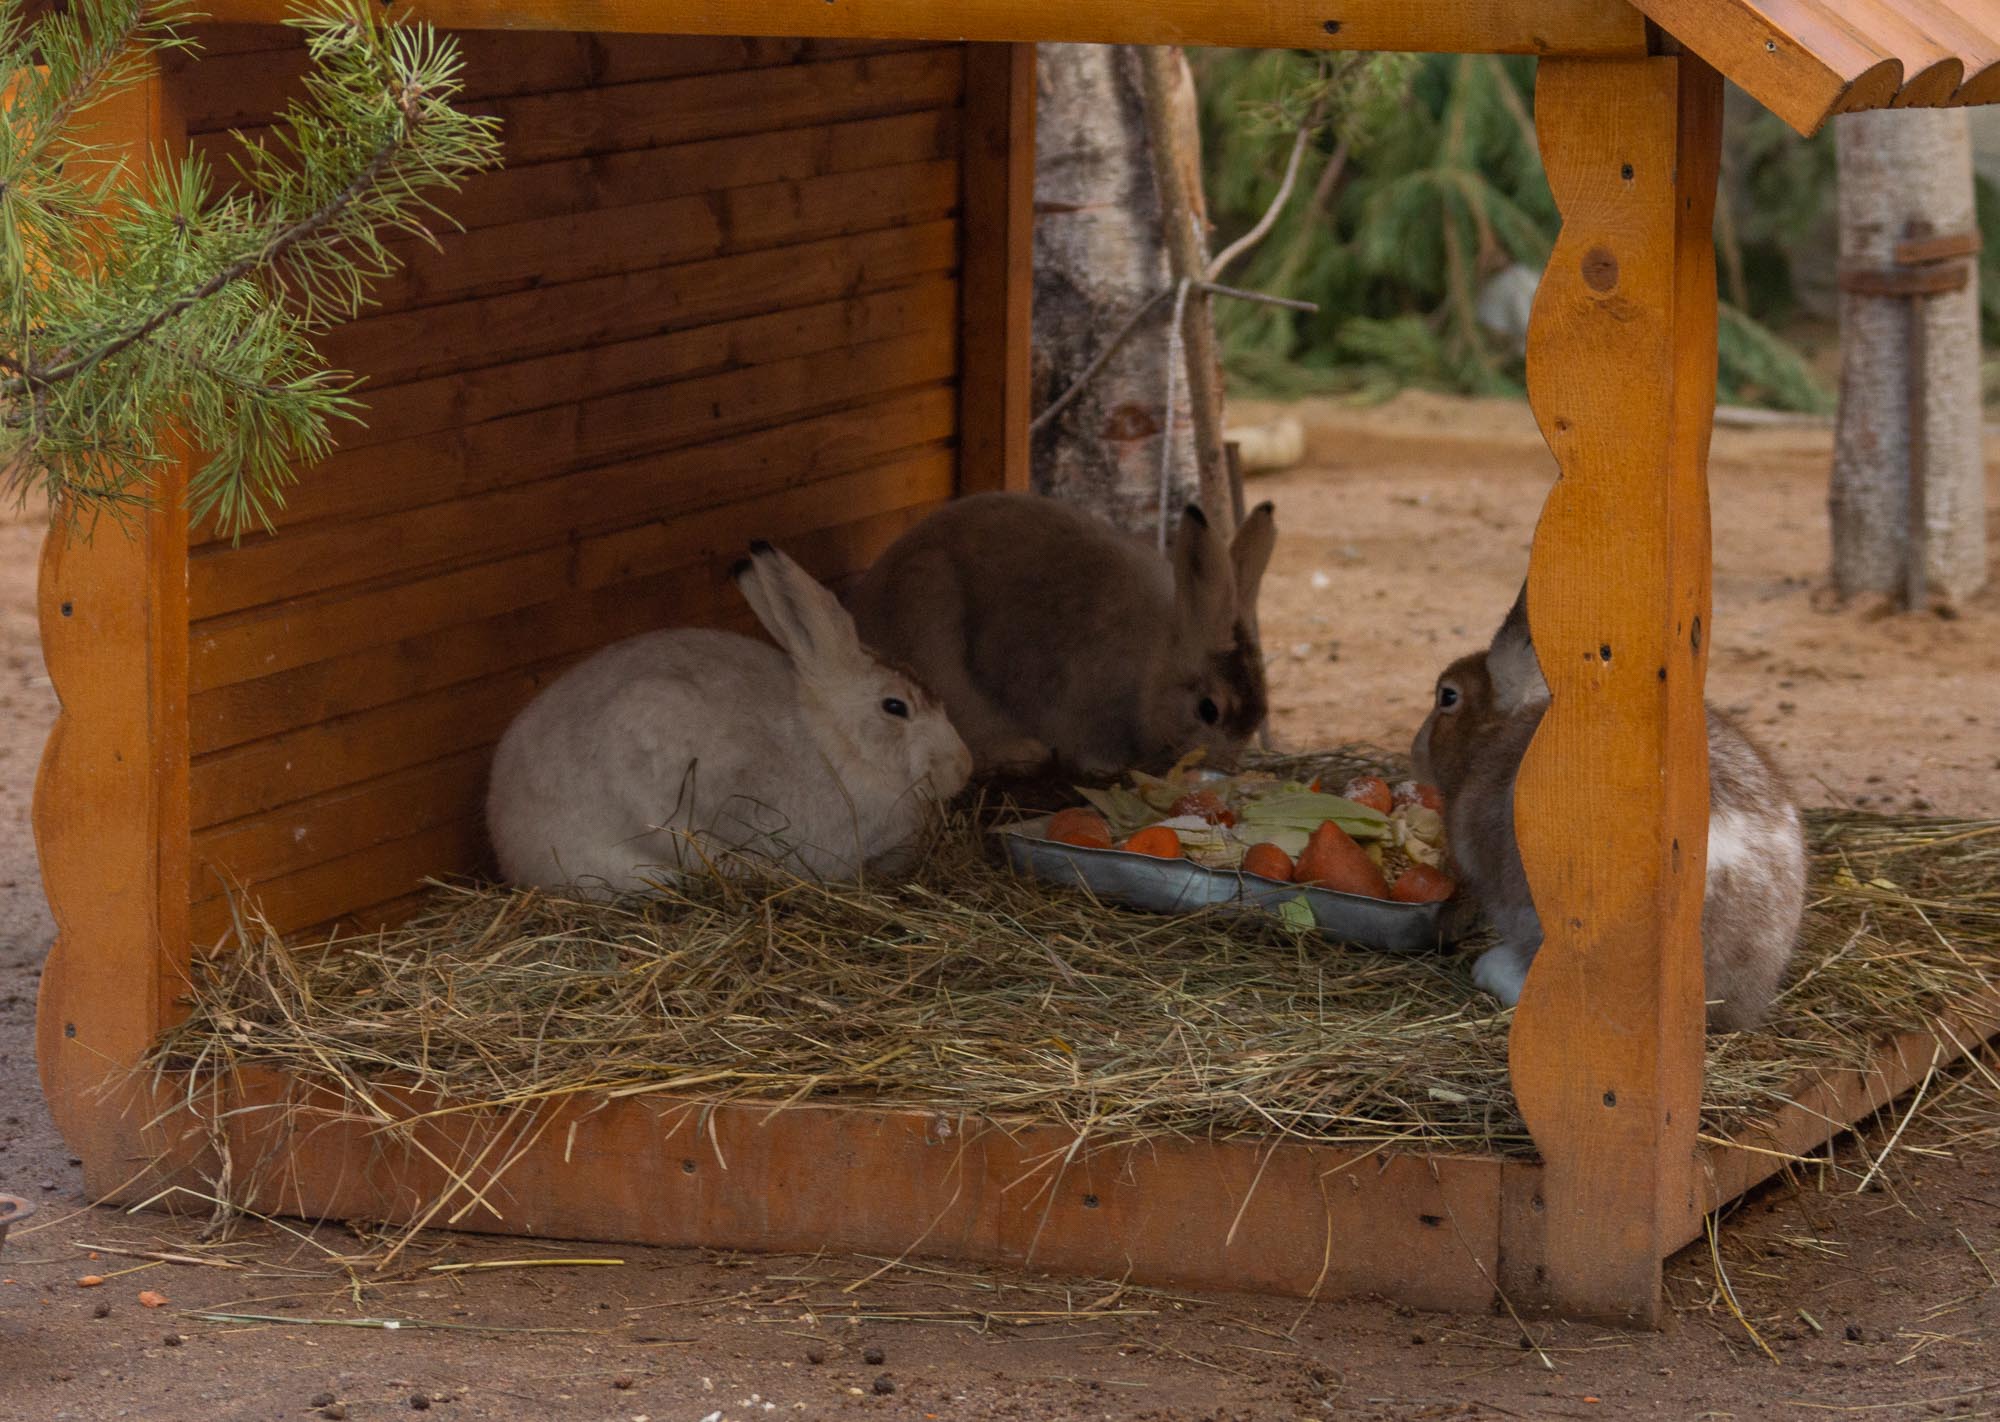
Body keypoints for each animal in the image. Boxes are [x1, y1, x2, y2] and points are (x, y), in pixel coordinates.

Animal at [846, 492, 1278, 777]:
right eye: (1209, 710)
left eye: (1260, 714)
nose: (1224, 766)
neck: (1154, 662)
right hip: (934, 634)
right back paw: (1021, 752)